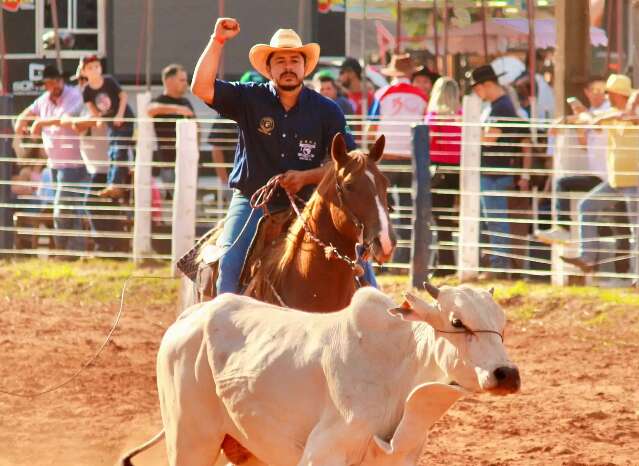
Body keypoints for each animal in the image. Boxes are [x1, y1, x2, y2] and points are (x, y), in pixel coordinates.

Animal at [121, 284, 520, 466]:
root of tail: (190, 317)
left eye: (502, 323)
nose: (507, 374)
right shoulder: (324, 452)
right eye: (458, 321)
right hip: (190, 438)